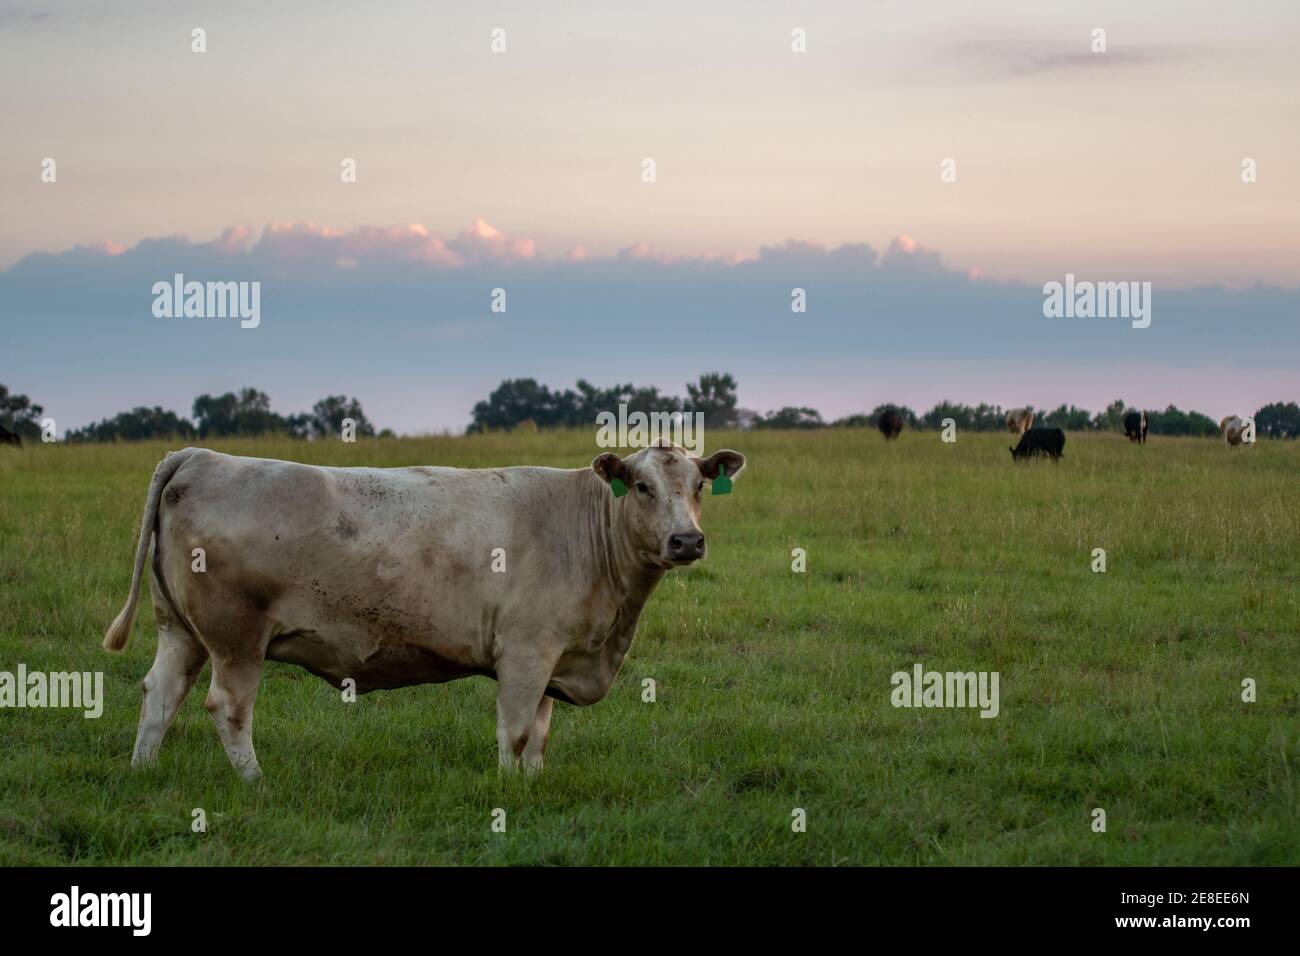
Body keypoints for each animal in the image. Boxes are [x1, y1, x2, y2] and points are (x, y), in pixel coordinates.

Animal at [102, 442, 747, 779]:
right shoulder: (526, 653)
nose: (686, 541)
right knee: (228, 707)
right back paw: (256, 783)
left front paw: (533, 787)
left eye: (698, 486)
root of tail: (202, 456)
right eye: (641, 486)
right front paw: (509, 794)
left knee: (160, 694)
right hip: (236, 636)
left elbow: (539, 735)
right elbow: (516, 731)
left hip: (180, 630)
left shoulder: (554, 657)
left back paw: (141, 770)